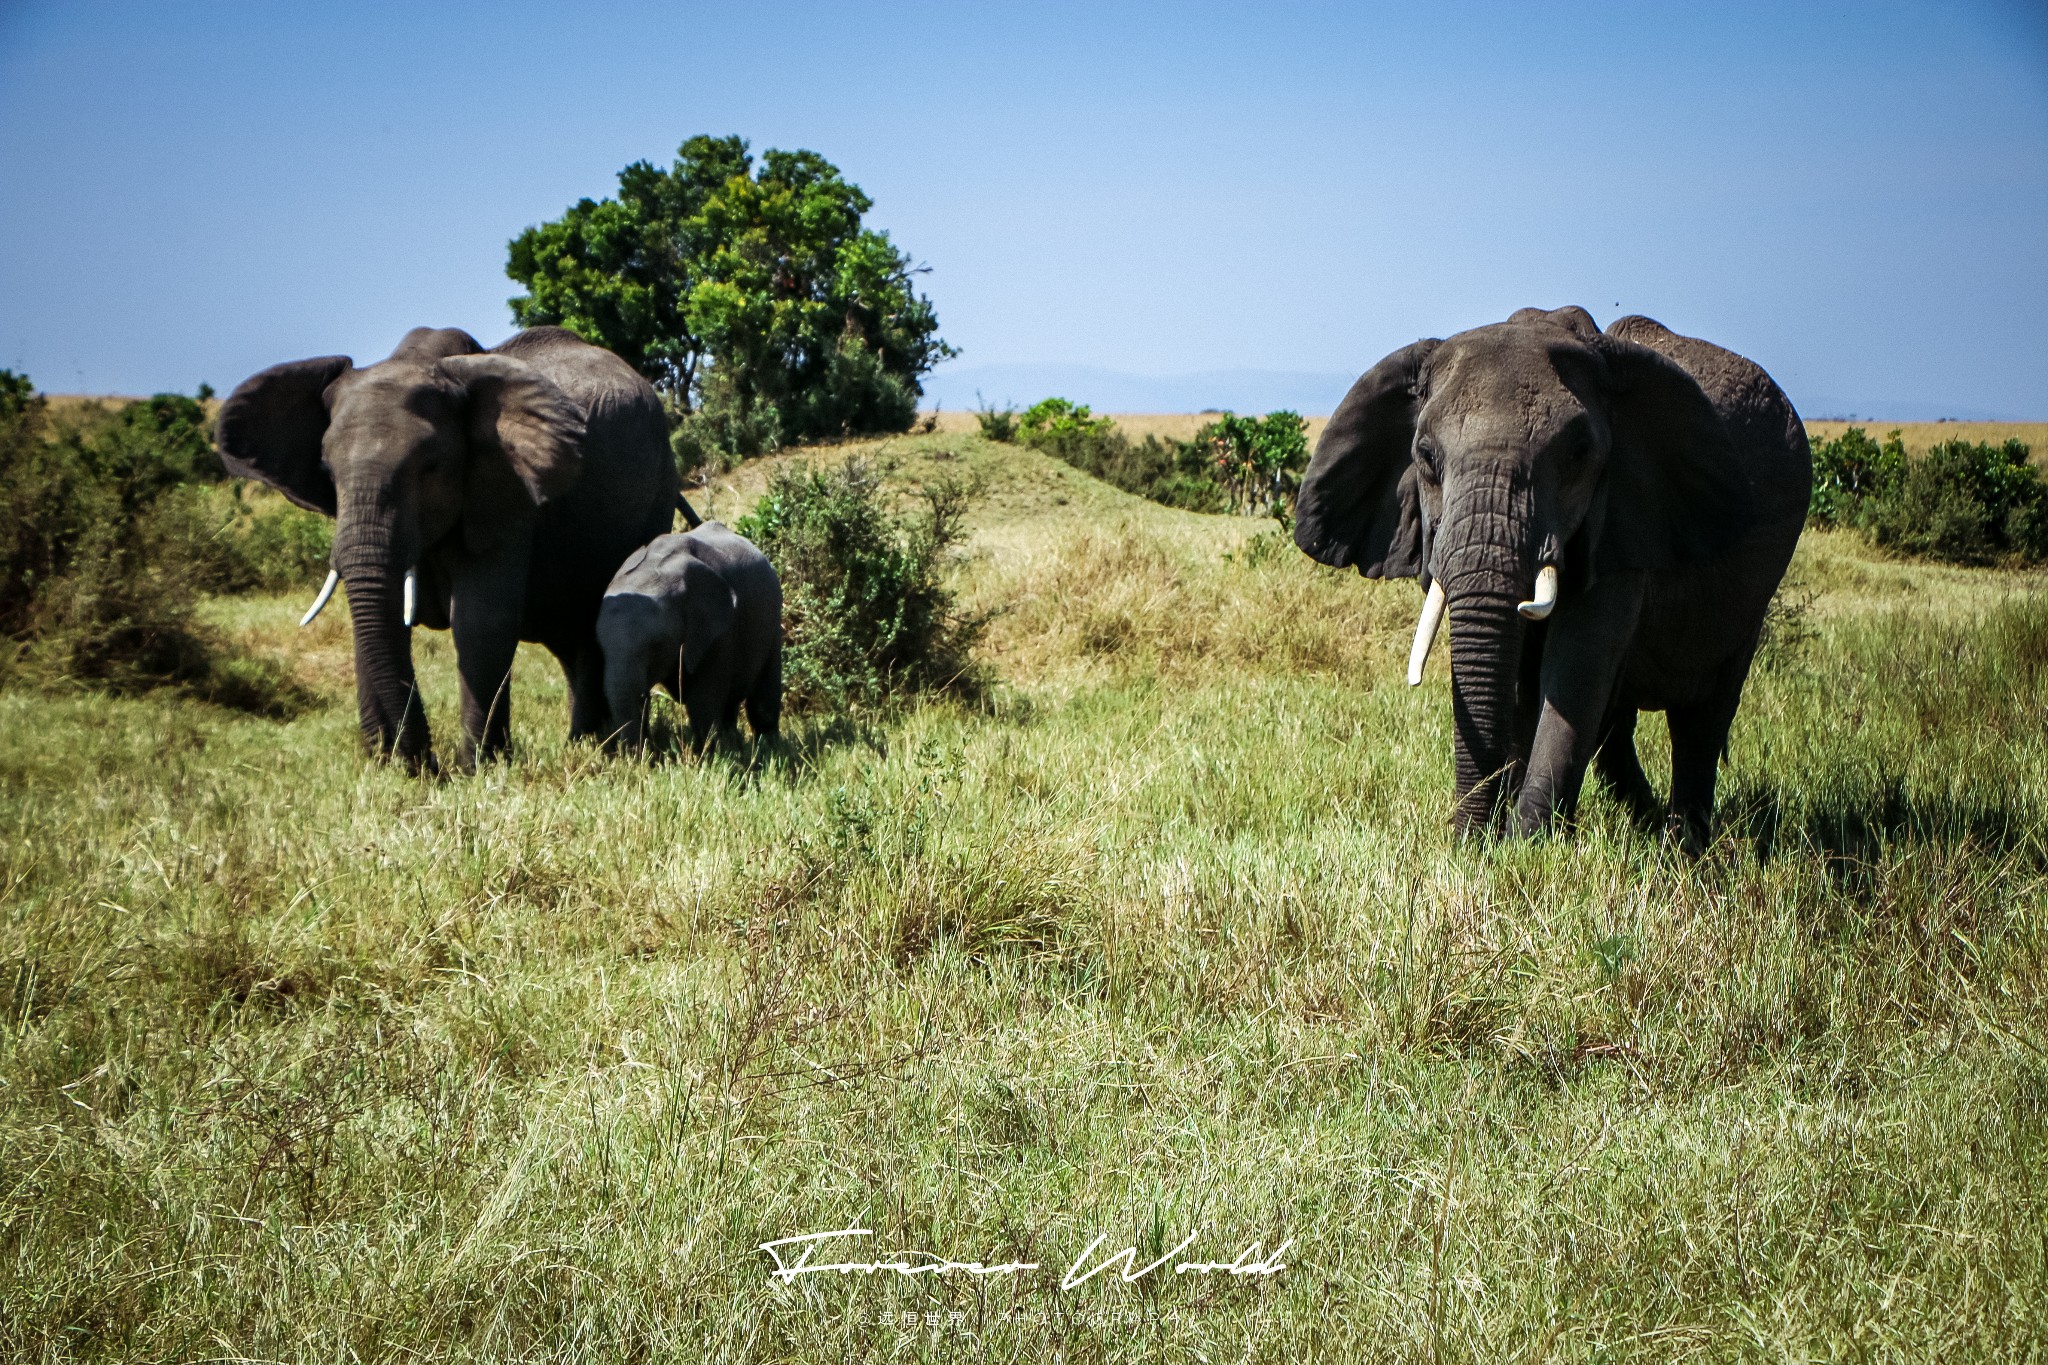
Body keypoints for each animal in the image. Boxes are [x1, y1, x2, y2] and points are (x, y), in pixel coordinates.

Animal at [220, 321, 675, 769]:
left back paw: (603, 746)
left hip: (659, 488)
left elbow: (480, 622)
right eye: (327, 472)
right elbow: (374, 618)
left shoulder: (506, 494)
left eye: (430, 467)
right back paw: (585, 743)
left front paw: (477, 769)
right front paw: (387, 766)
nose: (424, 762)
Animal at [598, 523, 782, 757]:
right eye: (602, 649)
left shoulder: (719, 632)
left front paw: (710, 758)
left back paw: (770, 751)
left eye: (656, 646)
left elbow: (702, 704)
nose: (639, 759)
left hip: (773, 619)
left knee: (762, 704)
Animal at [1294, 306, 1810, 855]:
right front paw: (1502, 842)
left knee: (1703, 716)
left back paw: (1682, 852)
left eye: (1578, 453)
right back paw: (1647, 824)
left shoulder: (1623, 520)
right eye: (1426, 457)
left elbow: (1576, 665)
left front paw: (1525, 849)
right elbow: (1523, 675)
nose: (1466, 842)